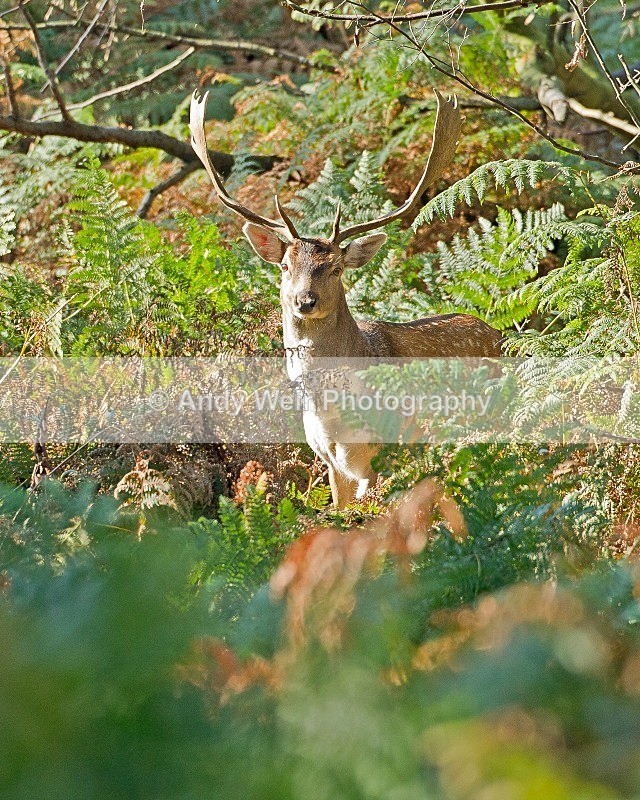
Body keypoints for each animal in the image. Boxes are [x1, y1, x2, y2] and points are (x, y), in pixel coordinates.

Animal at [189, 89, 502, 508]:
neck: (333, 419)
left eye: (336, 268)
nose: (305, 301)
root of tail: (500, 334)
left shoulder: (381, 453)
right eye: (285, 265)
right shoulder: (330, 461)